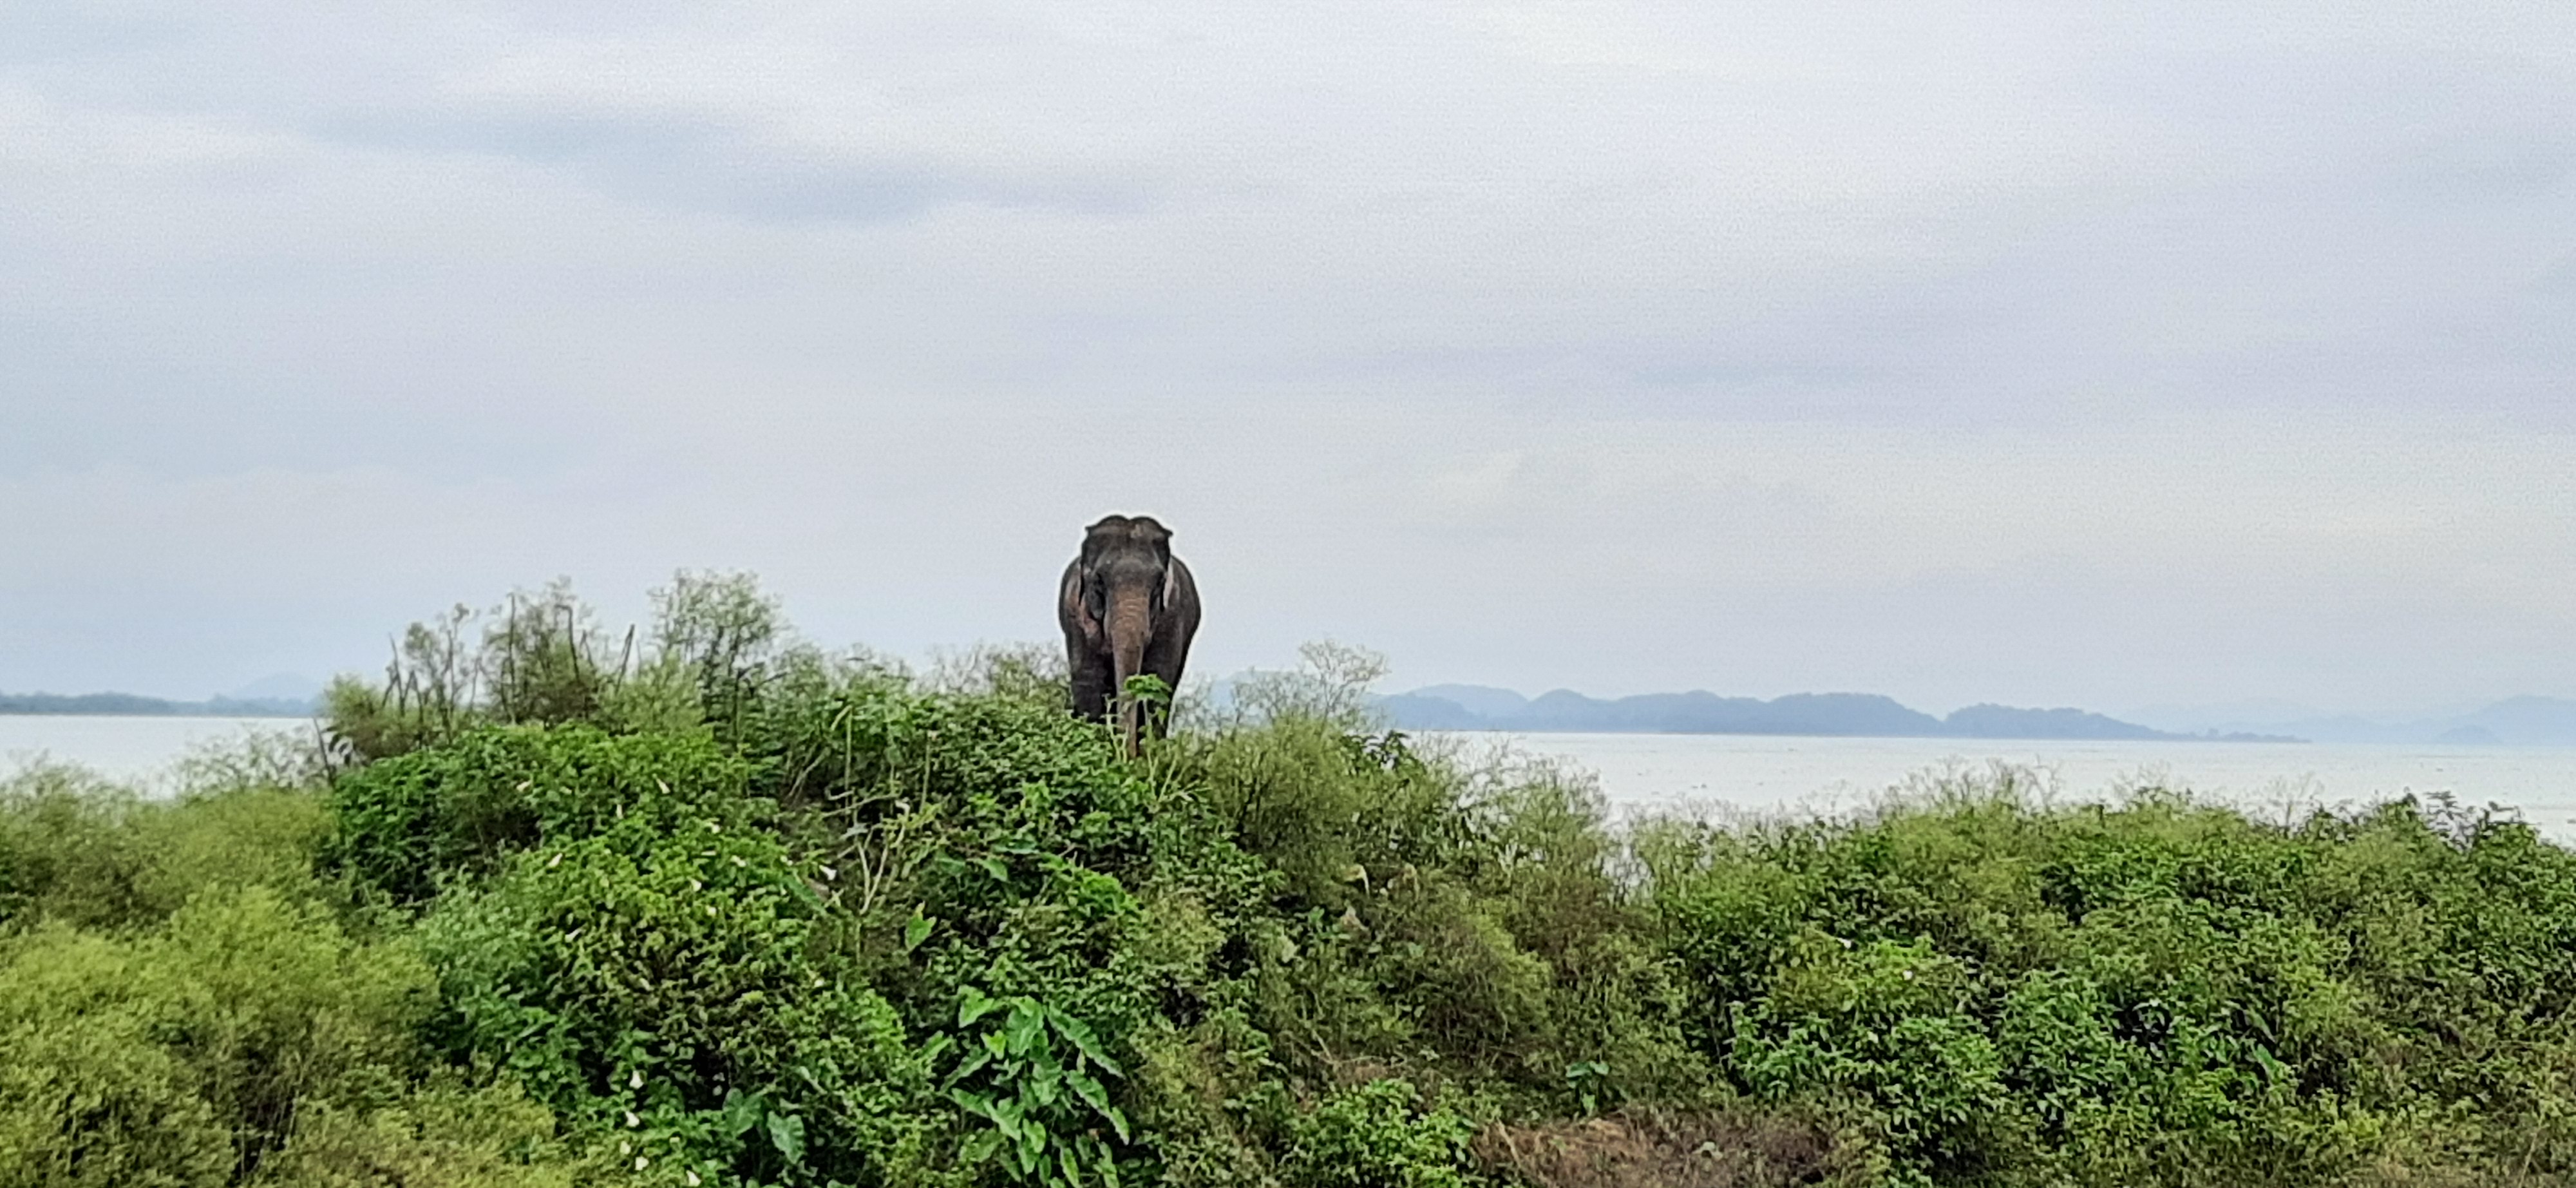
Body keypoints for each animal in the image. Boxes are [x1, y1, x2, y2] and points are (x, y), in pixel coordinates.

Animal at [1051, 513, 1200, 752]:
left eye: (1159, 582)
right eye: (1099, 580)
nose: (1127, 755)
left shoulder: (1173, 615)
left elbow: (1158, 677)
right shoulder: (1074, 612)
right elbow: (1089, 678)